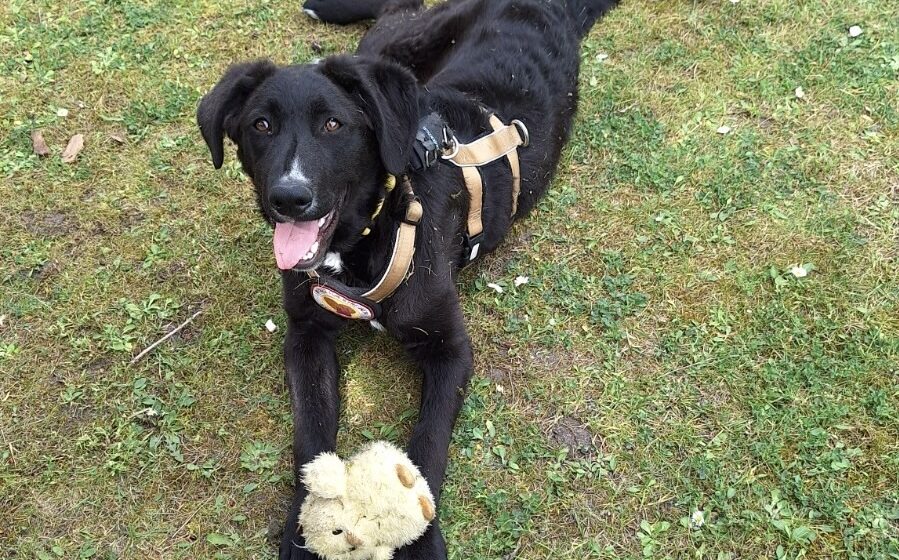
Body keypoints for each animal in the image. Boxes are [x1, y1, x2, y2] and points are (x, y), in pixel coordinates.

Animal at [197, 1, 619, 558]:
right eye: (260, 125)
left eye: (333, 124)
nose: (288, 198)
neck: (365, 240)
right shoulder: (305, 335)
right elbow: (311, 435)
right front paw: (304, 528)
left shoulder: (450, 348)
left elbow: (427, 444)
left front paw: (421, 538)